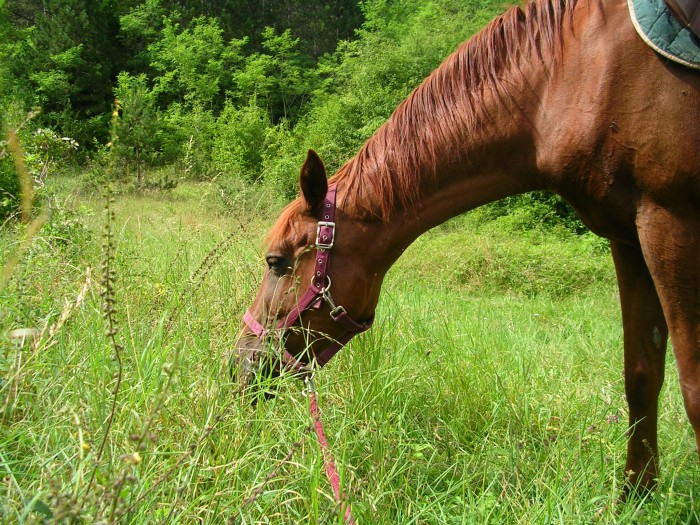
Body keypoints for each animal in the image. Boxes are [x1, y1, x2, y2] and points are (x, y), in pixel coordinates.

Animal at [237, 0, 700, 496]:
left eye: (277, 261)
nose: (237, 365)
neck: (571, 74)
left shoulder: (670, 223)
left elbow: (692, 391)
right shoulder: (627, 238)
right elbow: (641, 375)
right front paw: (635, 497)